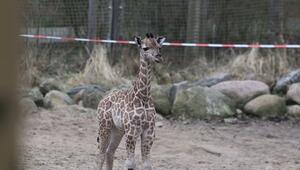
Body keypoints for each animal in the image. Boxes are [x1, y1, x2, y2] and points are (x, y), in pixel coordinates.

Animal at [96, 32, 165, 169]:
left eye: (159, 47)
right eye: (145, 48)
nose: (159, 57)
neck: (143, 97)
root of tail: (101, 101)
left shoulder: (149, 131)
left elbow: (147, 164)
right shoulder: (132, 131)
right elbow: (130, 163)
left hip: (118, 129)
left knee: (109, 151)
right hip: (104, 126)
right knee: (100, 154)